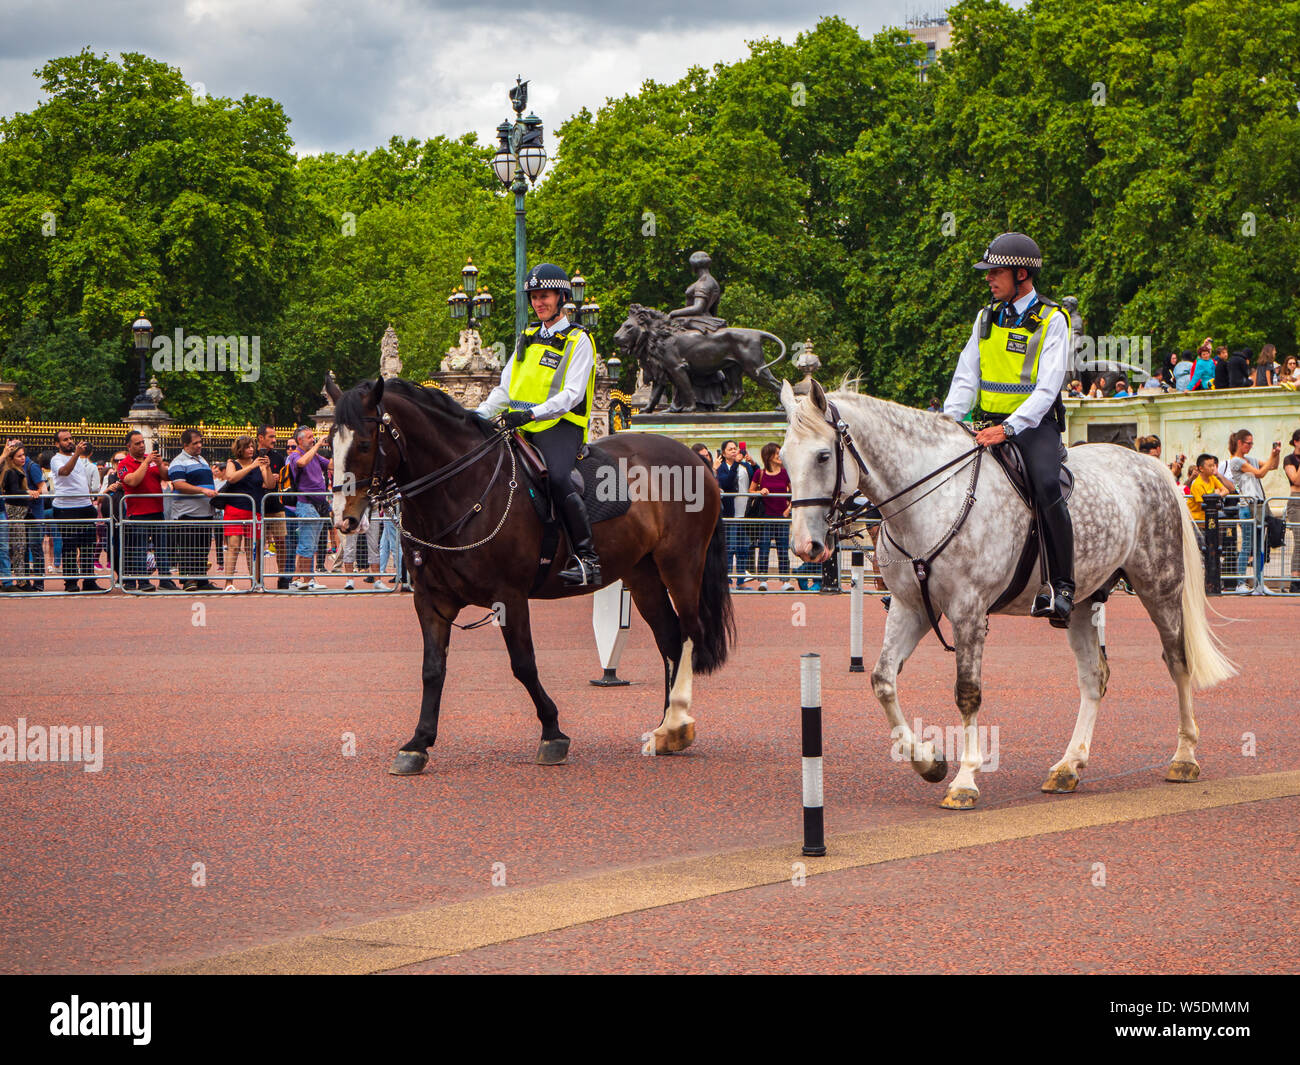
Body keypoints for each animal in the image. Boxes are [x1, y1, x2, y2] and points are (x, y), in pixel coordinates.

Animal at [327, 377, 733, 775]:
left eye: (364, 443)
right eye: (331, 443)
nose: (344, 518)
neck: (461, 490)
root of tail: (693, 457)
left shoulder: (509, 596)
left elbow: (523, 664)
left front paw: (553, 733)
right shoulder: (431, 600)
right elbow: (432, 669)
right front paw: (418, 743)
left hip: (680, 564)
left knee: (689, 633)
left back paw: (677, 721)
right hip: (643, 573)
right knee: (669, 638)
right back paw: (666, 730)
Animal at [774, 382, 1232, 806]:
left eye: (823, 456)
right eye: (785, 458)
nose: (806, 546)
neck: (933, 500)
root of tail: (1150, 464)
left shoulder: (968, 612)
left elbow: (967, 693)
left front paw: (964, 780)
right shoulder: (910, 608)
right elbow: (883, 681)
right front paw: (928, 762)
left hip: (1160, 587)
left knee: (1177, 662)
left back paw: (1184, 757)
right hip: (1082, 603)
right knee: (1093, 677)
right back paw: (1069, 766)